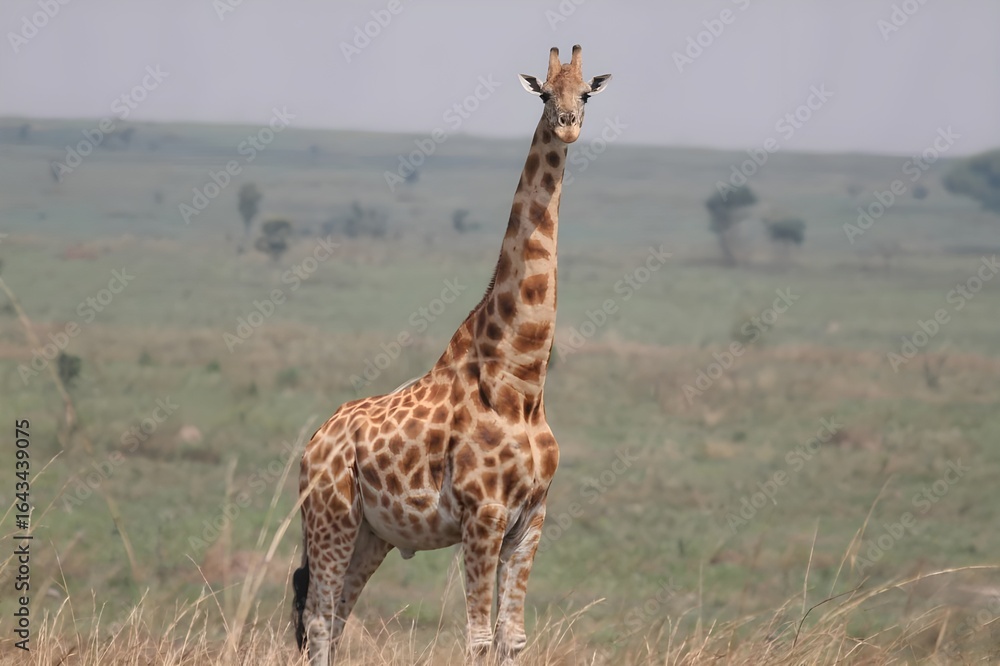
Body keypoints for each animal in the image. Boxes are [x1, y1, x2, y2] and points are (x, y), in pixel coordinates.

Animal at [293, 45, 611, 665]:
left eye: (586, 93)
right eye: (544, 93)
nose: (567, 125)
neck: (521, 380)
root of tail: (315, 441)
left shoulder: (531, 518)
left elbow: (512, 639)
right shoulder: (482, 515)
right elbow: (479, 639)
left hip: (372, 534)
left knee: (337, 618)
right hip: (330, 518)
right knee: (317, 618)